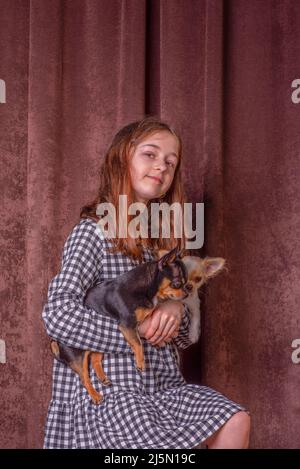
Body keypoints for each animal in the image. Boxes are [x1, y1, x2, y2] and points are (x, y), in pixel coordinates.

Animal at [51, 247, 188, 404]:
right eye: (177, 284)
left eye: (186, 283)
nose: (187, 293)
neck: (148, 287)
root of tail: (55, 341)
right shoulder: (127, 325)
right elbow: (138, 342)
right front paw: (141, 362)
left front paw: (158, 341)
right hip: (78, 357)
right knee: (85, 378)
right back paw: (95, 395)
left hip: (99, 344)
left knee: (95, 361)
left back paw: (103, 378)